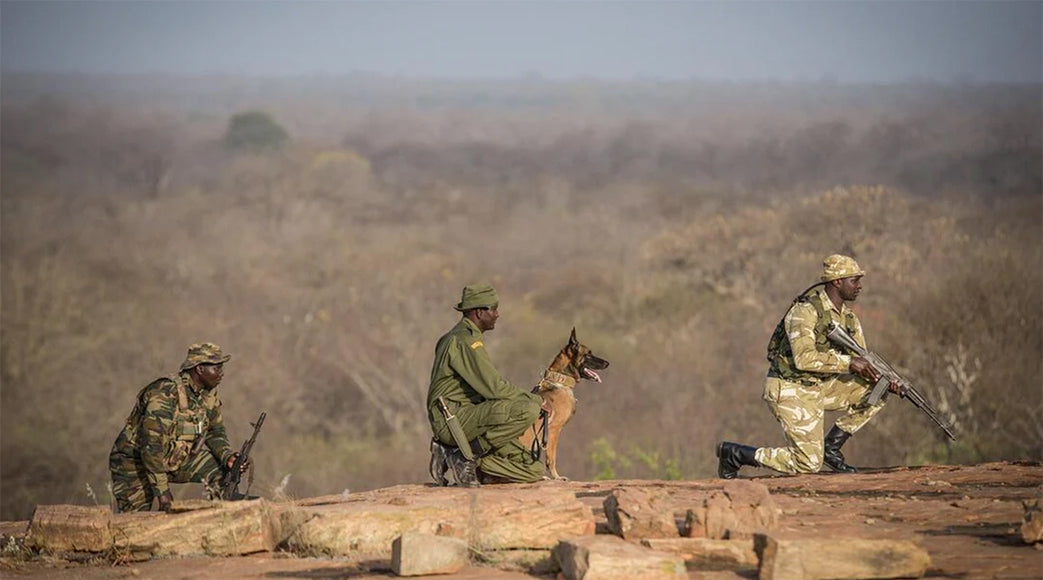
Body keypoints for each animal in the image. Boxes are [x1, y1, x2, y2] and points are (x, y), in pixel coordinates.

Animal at [517, 325, 609, 479]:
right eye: (588, 355)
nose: (608, 363)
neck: (561, 379)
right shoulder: (554, 430)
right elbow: (551, 458)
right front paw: (557, 477)